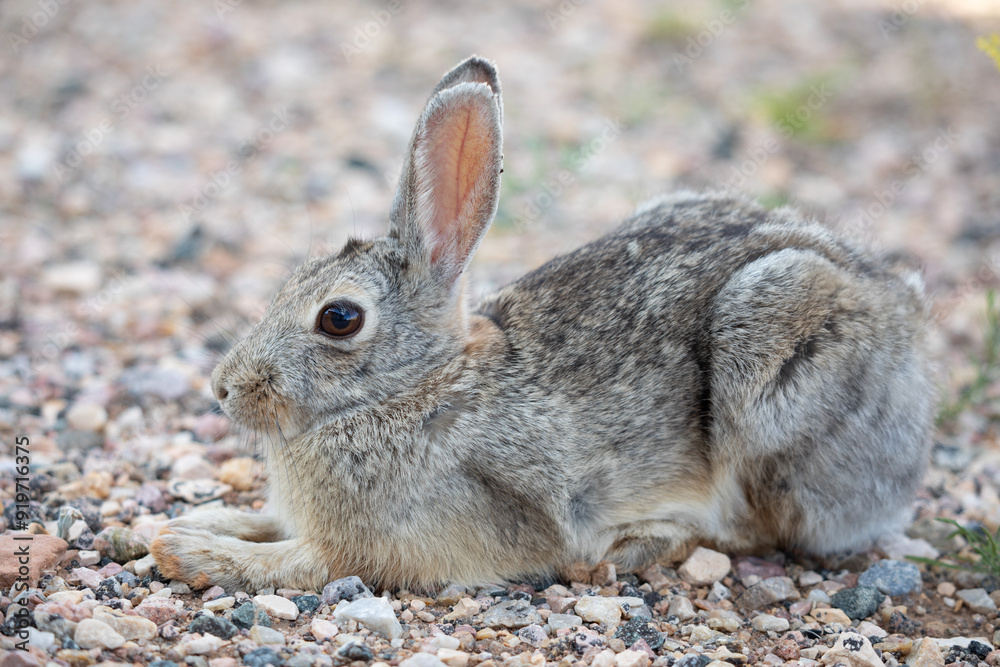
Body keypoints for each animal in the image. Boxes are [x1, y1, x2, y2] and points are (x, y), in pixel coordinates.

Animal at [151, 55, 934, 593]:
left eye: (339, 318)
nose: (222, 389)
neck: (415, 390)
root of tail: (908, 322)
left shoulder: (371, 546)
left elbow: (293, 562)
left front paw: (184, 550)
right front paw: (177, 525)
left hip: (773, 342)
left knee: (749, 527)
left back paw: (627, 548)